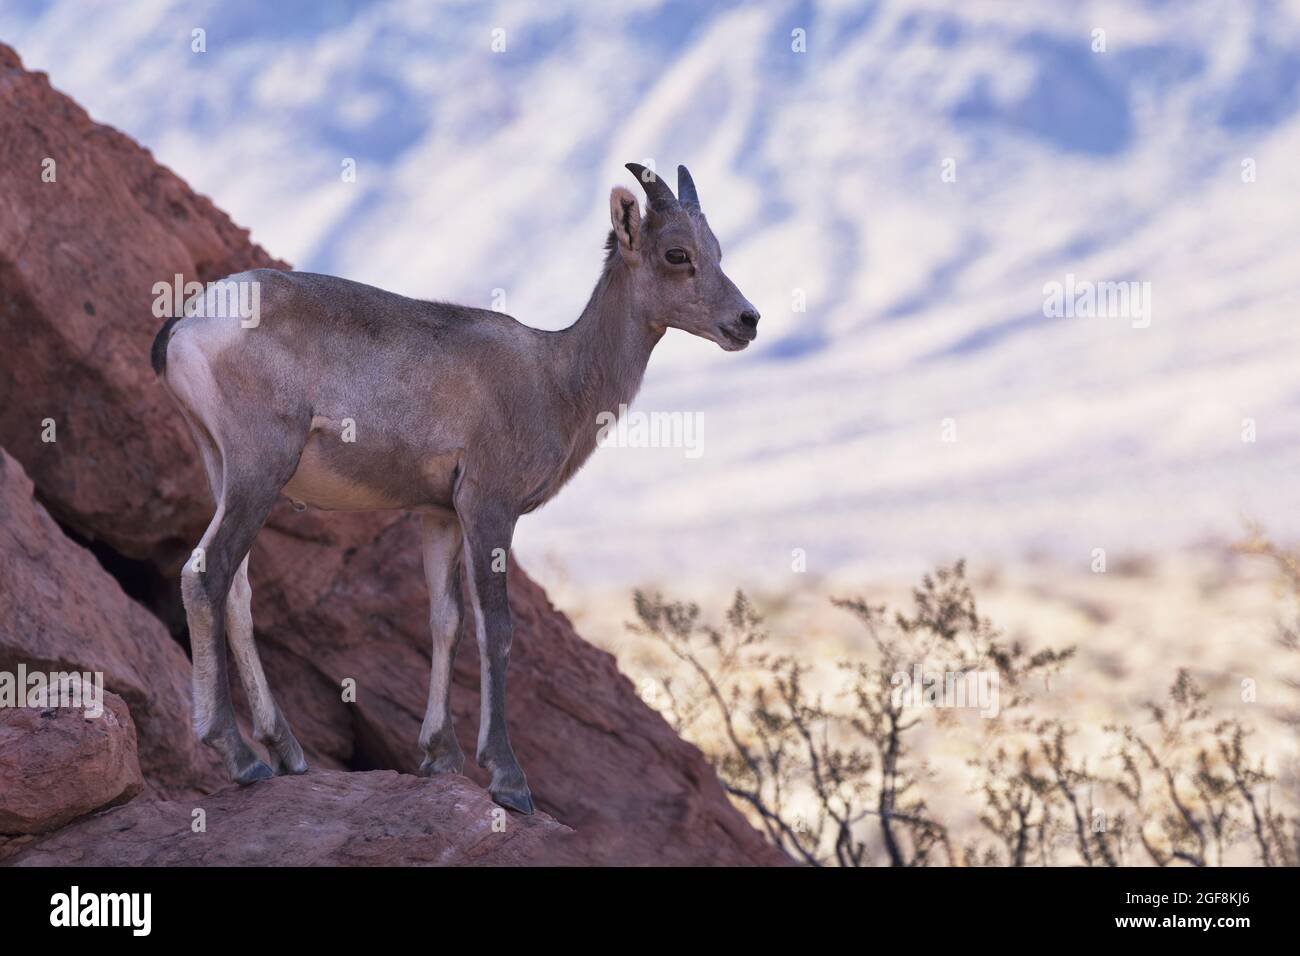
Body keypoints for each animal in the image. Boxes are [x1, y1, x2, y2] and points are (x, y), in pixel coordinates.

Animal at [149, 164, 759, 816]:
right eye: (677, 254)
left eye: (717, 252)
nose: (748, 321)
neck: (556, 378)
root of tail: (189, 325)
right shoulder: (488, 509)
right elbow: (497, 627)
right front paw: (508, 780)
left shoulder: (438, 516)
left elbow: (447, 621)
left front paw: (439, 757)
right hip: (259, 471)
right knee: (206, 575)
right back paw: (241, 758)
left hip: (226, 472)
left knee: (236, 592)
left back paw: (287, 753)